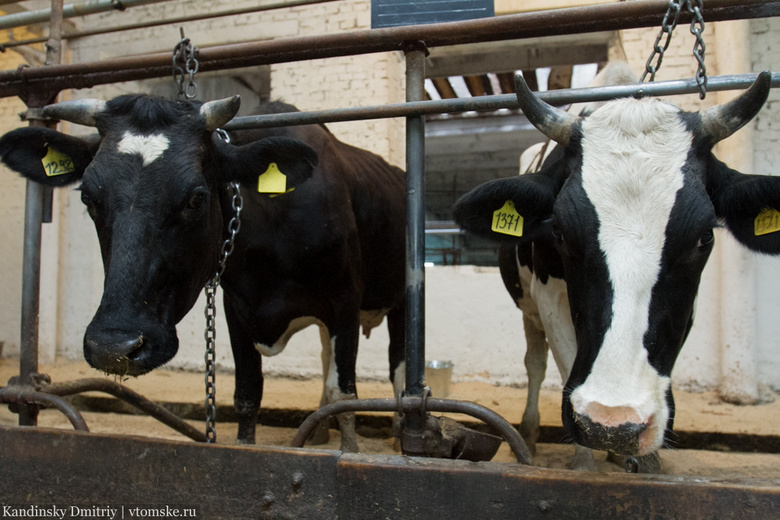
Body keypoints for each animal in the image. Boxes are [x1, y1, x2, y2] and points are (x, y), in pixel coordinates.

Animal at [1, 93, 408, 450]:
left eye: (196, 197)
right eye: (88, 197)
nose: (113, 348)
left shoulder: (344, 302)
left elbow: (346, 395)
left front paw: (350, 450)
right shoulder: (237, 307)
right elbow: (247, 394)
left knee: (396, 368)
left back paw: (399, 433)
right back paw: (320, 431)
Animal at [454, 72, 780, 460]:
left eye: (704, 236)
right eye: (559, 229)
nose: (613, 423)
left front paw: (634, 454)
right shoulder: (549, 300)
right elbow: (564, 364)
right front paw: (587, 458)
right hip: (528, 308)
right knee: (535, 362)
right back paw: (530, 433)